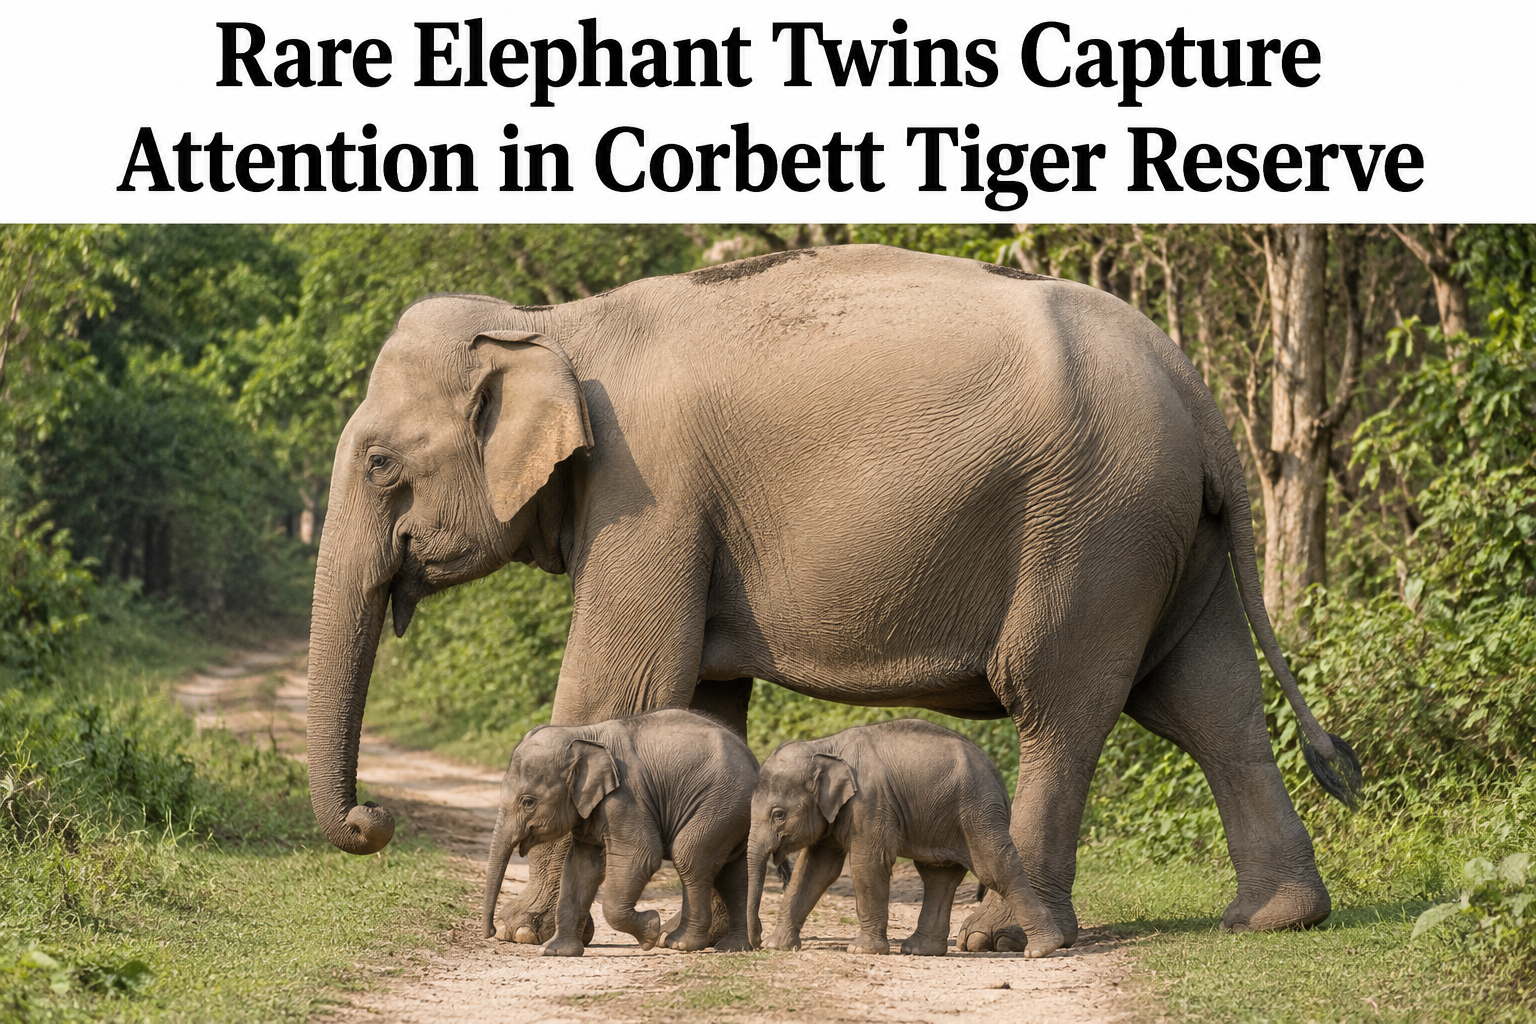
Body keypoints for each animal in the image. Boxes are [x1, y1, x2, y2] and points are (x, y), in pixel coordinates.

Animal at [483, 709, 758, 955]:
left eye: (528, 802)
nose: (492, 932)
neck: (581, 734)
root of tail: (755, 764)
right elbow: (580, 867)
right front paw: (557, 951)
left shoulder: (626, 798)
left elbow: (642, 855)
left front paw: (650, 930)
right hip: (734, 814)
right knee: (732, 874)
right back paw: (734, 946)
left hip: (721, 803)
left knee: (690, 857)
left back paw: (678, 943)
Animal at [747, 720, 1064, 957]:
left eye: (778, 815)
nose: (756, 942)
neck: (824, 746)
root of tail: (999, 777)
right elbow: (815, 870)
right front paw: (777, 946)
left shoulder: (869, 804)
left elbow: (867, 864)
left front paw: (861, 951)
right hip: (947, 818)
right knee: (938, 876)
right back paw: (919, 950)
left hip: (978, 811)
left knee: (994, 869)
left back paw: (1043, 949)